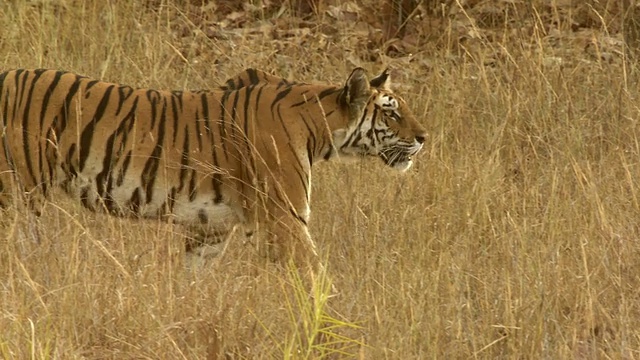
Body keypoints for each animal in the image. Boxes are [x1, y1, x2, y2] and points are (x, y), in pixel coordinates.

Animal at [1, 67, 430, 264]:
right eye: (392, 113)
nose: (425, 136)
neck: (320, 128)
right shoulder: (287, 219)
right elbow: (315, 281)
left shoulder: (210, 230)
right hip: (20, 195)